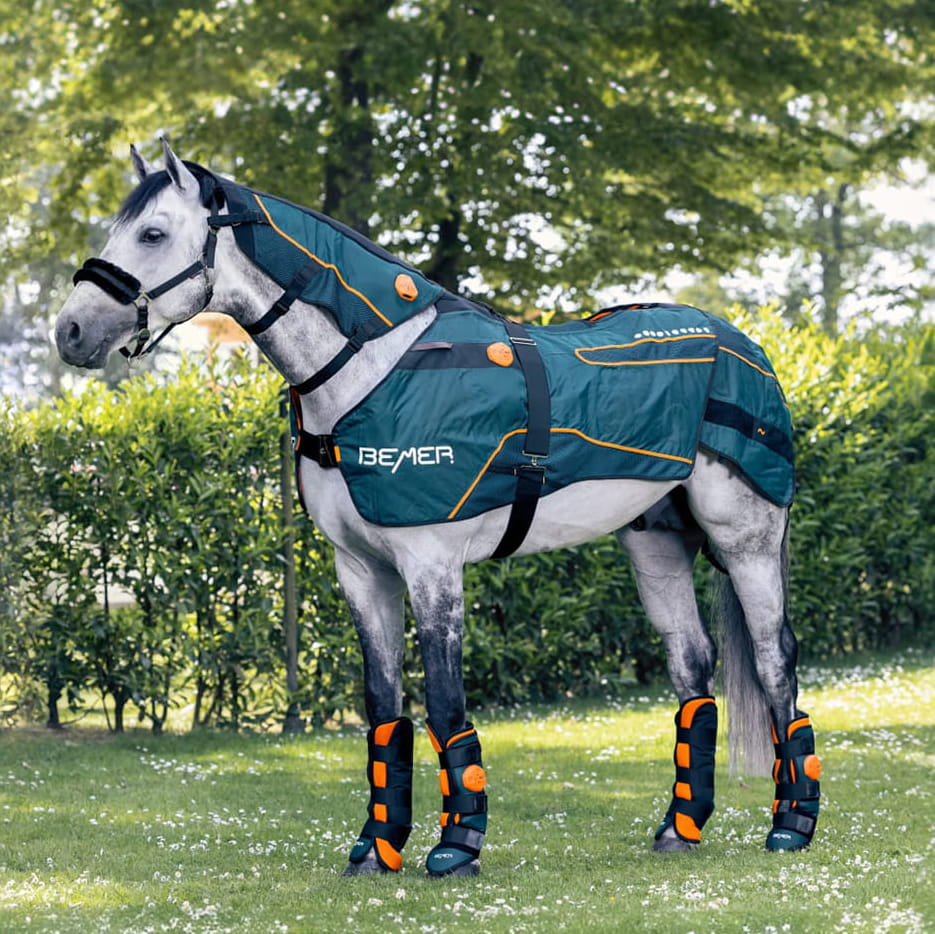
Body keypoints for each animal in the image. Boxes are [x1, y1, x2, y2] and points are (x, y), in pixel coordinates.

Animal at [54, 140, 821, 876]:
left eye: (153, 233)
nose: (71, 331)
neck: (370, 369)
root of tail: (745, 346)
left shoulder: (432, 564)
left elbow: (447, 705)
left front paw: (456, 847)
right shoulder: (361, 572)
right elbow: (382, 710)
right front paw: (376, 848)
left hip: (745, 539)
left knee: (773, 659)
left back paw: (791, 825)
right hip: (654, 543)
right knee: (693, 668)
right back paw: (678, 830)